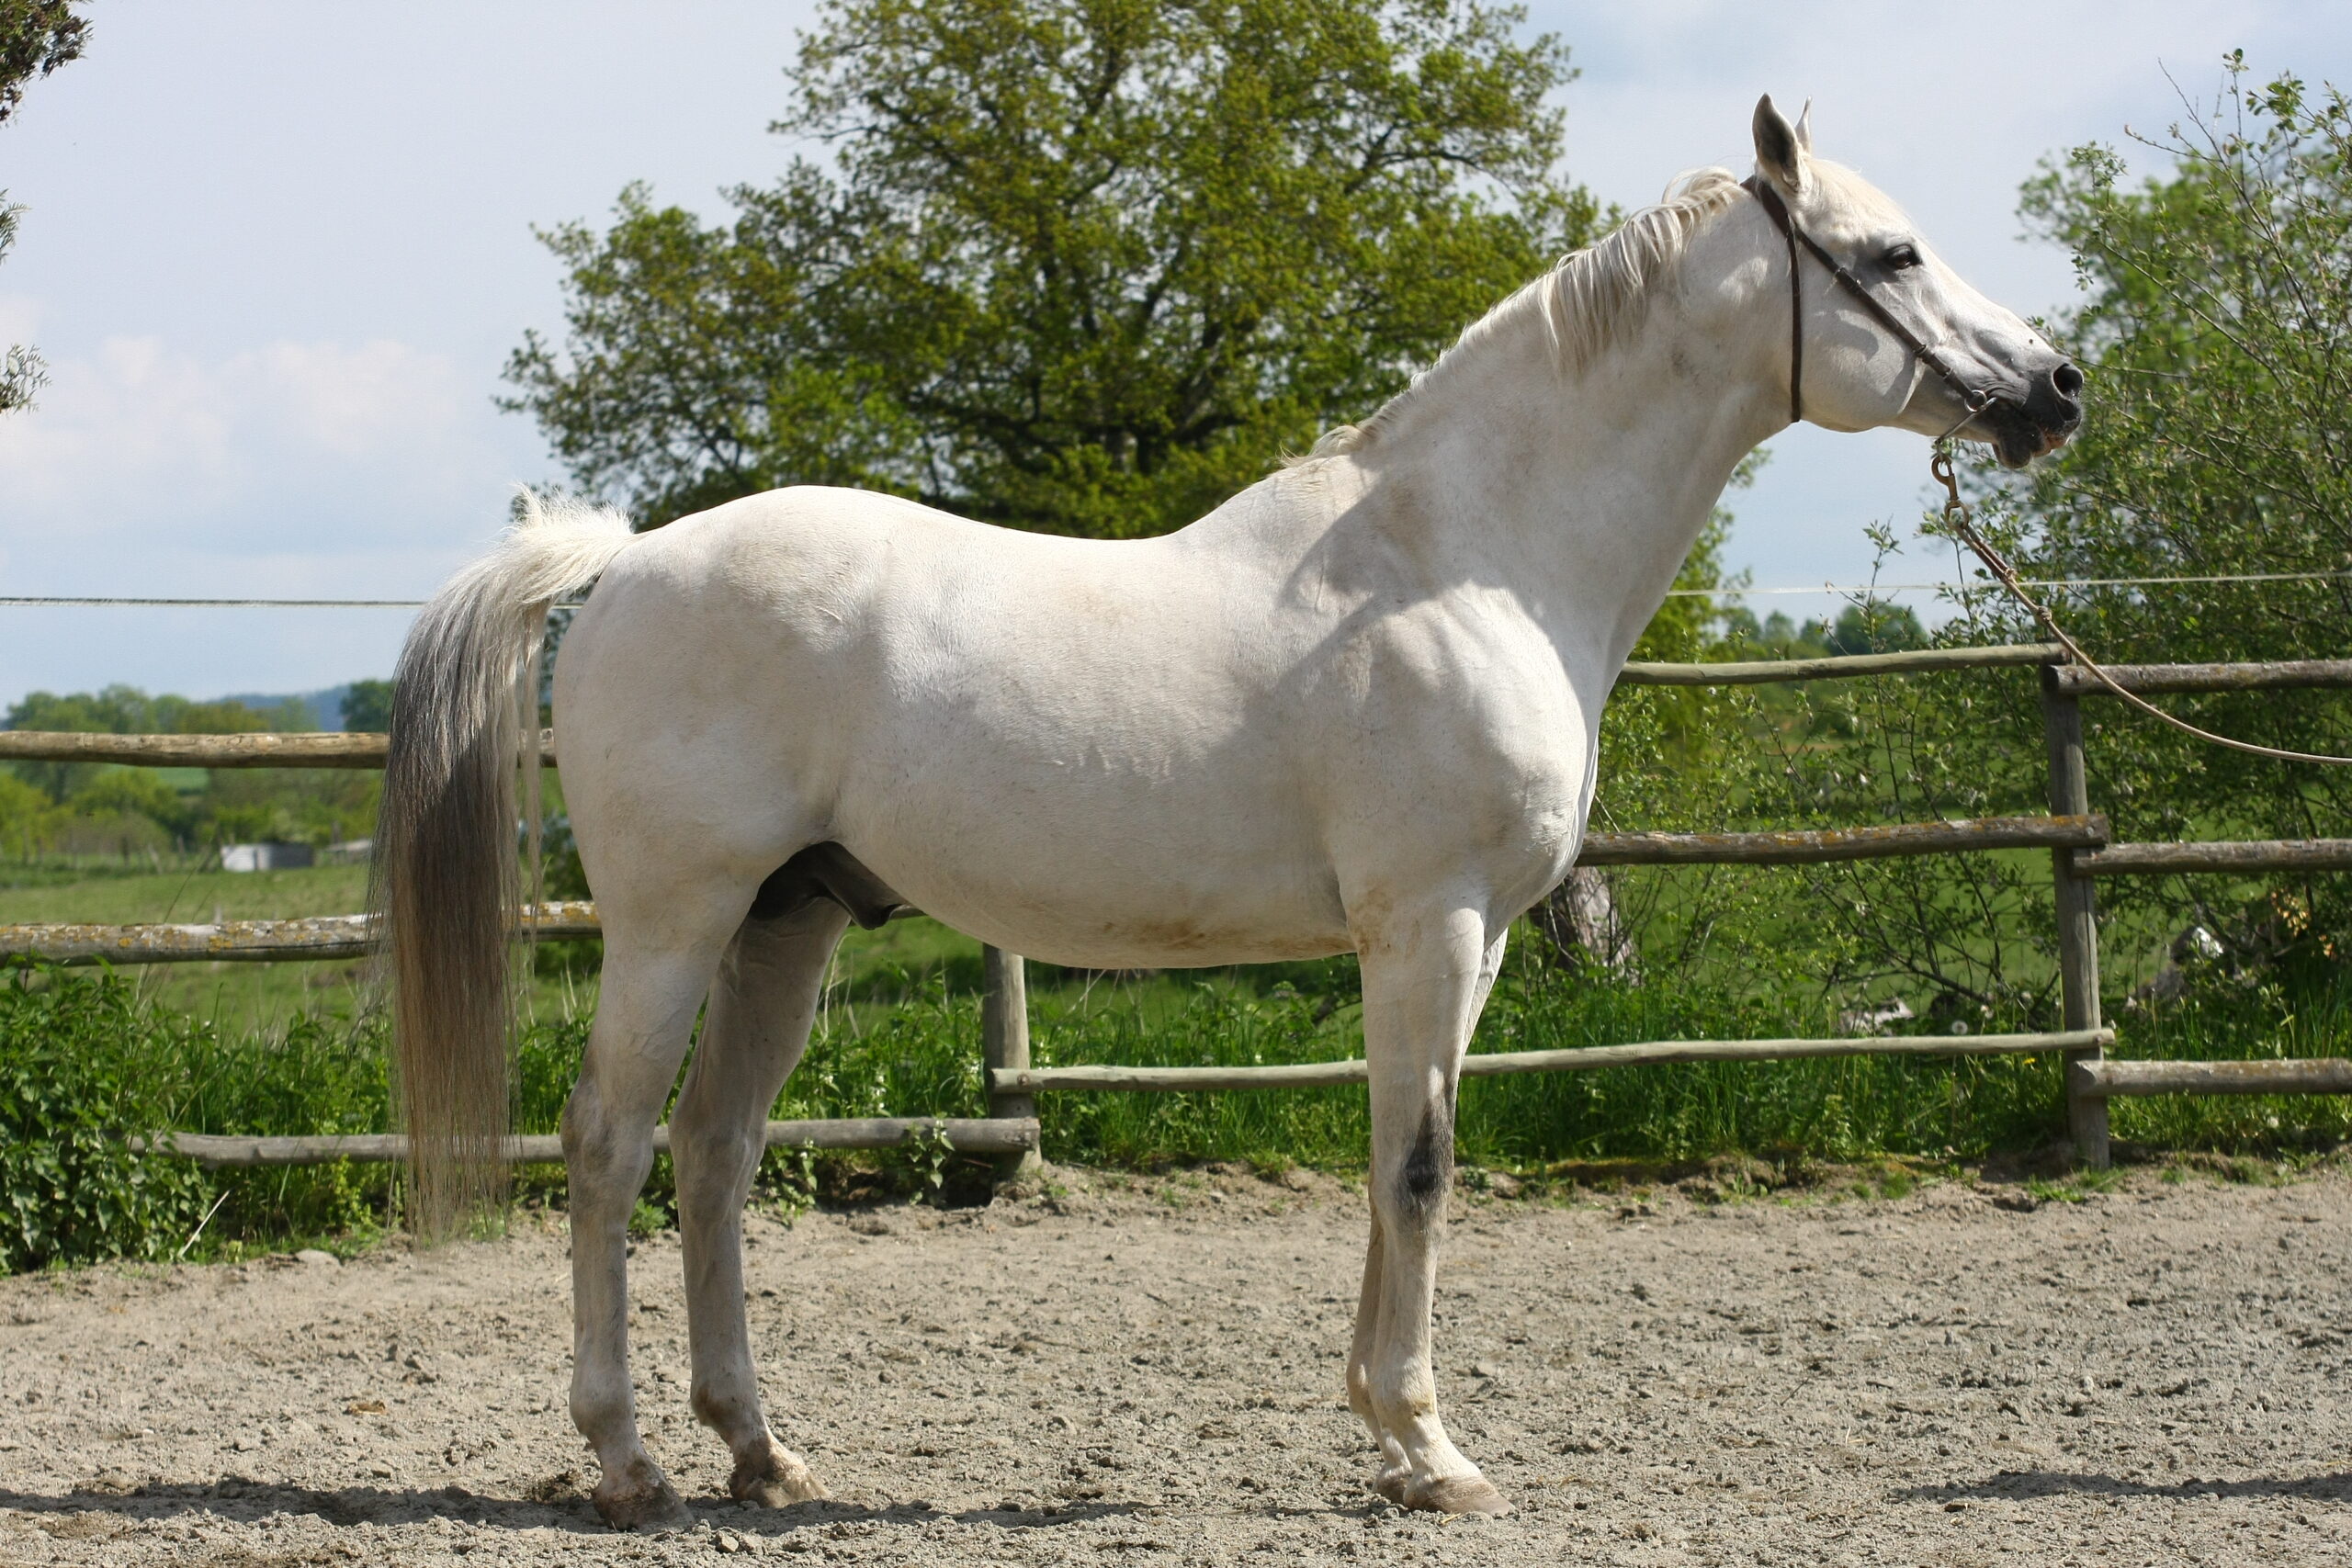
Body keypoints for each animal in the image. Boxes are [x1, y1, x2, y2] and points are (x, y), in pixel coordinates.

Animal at [377, 96, 2081, 1530]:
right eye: (1893, 254)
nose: (2055, 386)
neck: (1463, 556)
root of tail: (621, 561)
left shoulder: (1468, 945)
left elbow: (1404, 1154)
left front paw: (1388, 1435)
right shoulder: (1430, 925)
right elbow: (1422, 1165)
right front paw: (1430, 1447)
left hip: (788, 921)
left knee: (717, 1153)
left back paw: (763, 1450)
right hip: (676, 921)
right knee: (608, 1144)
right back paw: (625, 1458)